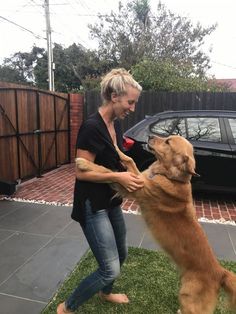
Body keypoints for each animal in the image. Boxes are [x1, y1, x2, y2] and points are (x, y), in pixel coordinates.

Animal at [75, 135, 236, 314]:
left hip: (189, 299)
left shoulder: (136, 187)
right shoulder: (138, 177)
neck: (170, 176)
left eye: (168, 142)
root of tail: (220, 272)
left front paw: (85, 163)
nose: (150, 136)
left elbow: (110, 172)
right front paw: (116, 146)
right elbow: (129, 160)